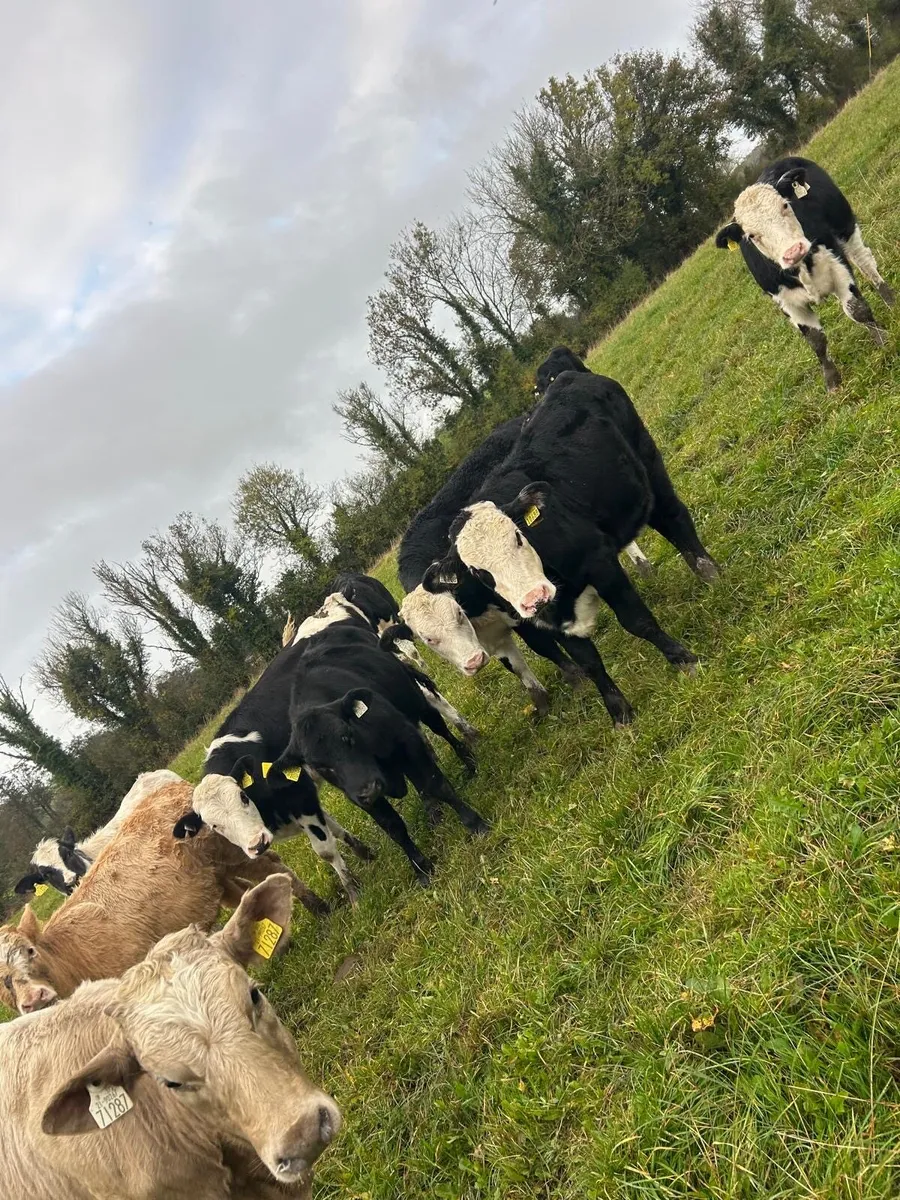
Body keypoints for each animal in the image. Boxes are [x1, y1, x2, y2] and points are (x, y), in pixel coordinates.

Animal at [273, 628, 490, 887]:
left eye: (347, 737)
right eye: (320, 766)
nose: (369, 789)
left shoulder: (407, 740)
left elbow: (437, 785)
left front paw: (475, 823)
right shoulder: (359, 795)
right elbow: (393, 826)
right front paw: (421, 867)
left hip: (418, 703)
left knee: (441, 728)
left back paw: (469, 761)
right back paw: (432, 811)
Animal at [427, 370, 719, 727]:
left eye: (518, 537)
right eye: (478, 573)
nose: (533, 596)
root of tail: (569, 376)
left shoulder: (601, 563)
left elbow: (637, 622)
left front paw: (683, 660)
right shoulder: (546, 620)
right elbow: (588, 661)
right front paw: (619, 713)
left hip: (648, 462)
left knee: (674, 519)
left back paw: (710, 574)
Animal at [715, 156, 893, 391]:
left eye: (784, 205)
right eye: (752, 235)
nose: (793, 251)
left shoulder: (838, 265)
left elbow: (858, 310)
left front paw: (884, 341)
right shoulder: (786, 302)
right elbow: (816, 340)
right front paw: (832, 382)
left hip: (846, 228)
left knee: (866, 264)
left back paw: (891, 302)